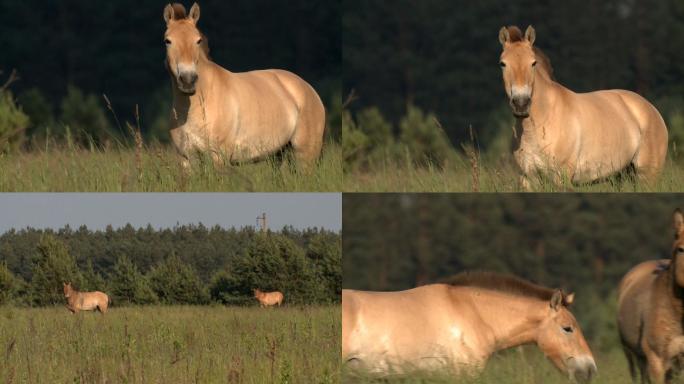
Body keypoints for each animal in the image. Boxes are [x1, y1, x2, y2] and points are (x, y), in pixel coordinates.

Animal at [164, 2, 328, 169]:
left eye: (198, 40)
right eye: (168, 41)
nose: (188, 80)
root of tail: (308, 88)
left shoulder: (219, 158)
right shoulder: (186, 160)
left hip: (305, 156)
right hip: (279, 155)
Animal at [496, 24, 668, 190]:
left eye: (533, 63)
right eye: (503, 64)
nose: (521, 103)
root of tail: (651, 109)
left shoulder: (562, 177)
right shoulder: (527, 178)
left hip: (647, 176)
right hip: (621, 175)